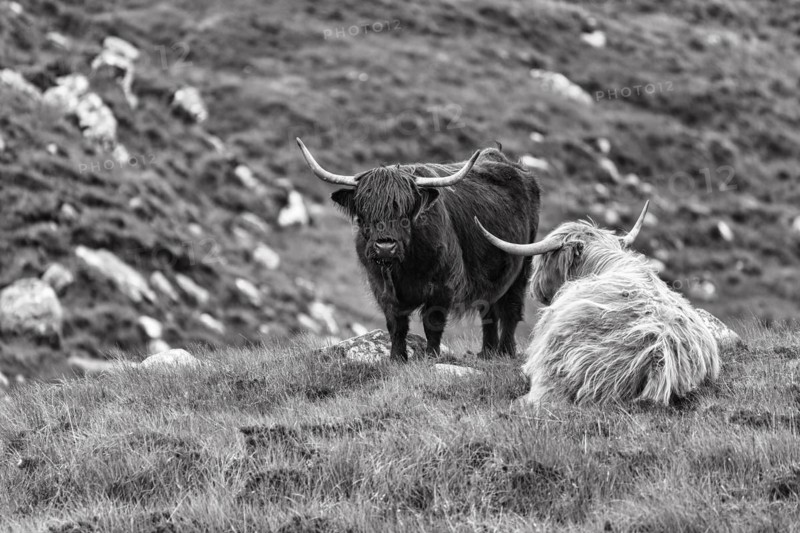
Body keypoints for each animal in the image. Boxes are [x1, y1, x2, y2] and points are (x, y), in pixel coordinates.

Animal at [297, 138, 541, 362]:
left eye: (405, 209)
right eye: (364, 210)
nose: (385, 247)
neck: (404, 266)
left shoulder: (442, 285)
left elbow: (432, 322)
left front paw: (431, 356)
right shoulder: (381, 287)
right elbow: (396, 324)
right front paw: (397, 358)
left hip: (521, 265)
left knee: (510, 310)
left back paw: (505, 352)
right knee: (488, 310)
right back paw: (487, 353)